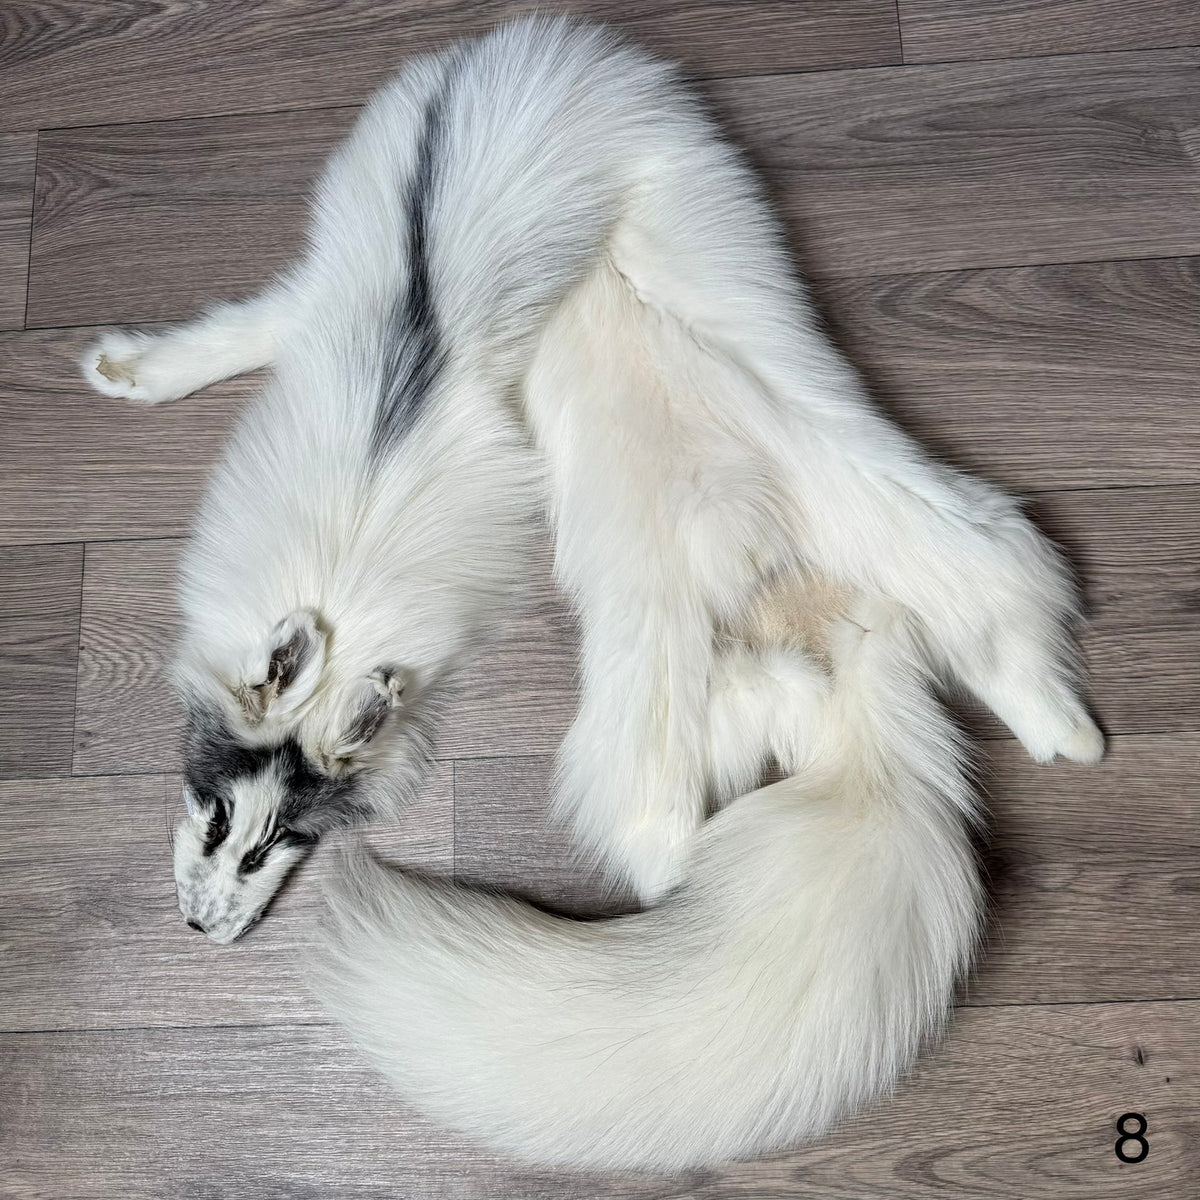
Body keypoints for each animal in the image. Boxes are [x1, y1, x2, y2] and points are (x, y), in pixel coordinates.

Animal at [81, 18, 1102, 1167]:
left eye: (267, 845)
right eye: (215, 821)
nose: (199, 932)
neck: (347, 559)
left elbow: (248, 328)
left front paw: (127, 369)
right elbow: (245, 329)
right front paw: (125, 371)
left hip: (659, 640)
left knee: (660, 833)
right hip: (847, 531)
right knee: (982, 603)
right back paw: (1065, 731)